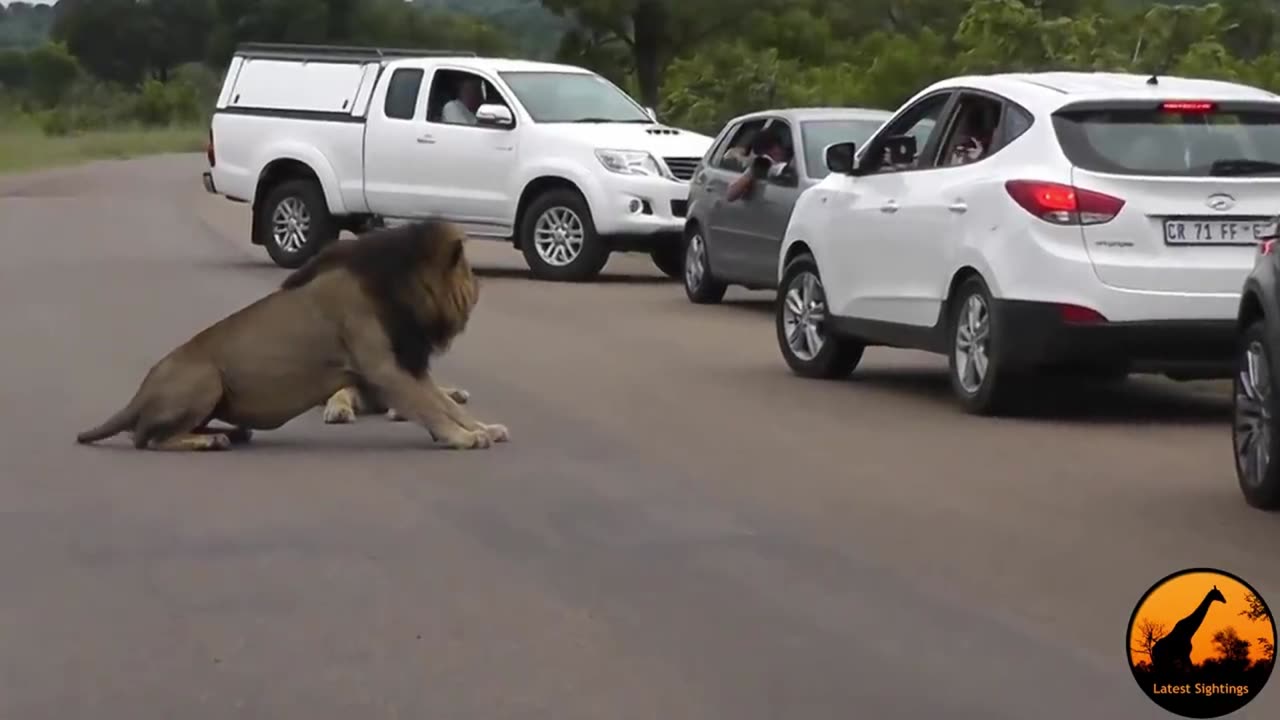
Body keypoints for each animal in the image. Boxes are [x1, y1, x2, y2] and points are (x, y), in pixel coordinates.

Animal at [73, 221, 504, 450]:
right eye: (468, 272)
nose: (481, 285)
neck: (401, 288)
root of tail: (139, 394)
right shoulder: (386, 370)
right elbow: (430, 408)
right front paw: (463, 438)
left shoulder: (407, 364)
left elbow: (447, 404)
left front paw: (484, 428)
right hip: (206, 379)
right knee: (146, 438)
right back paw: (208, 441)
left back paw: (230, 433)